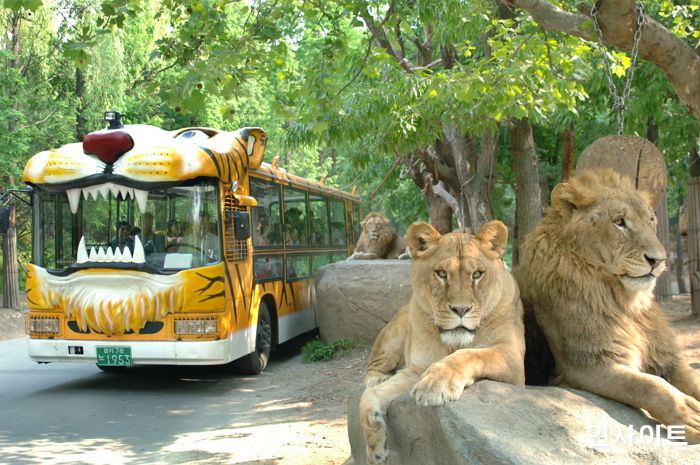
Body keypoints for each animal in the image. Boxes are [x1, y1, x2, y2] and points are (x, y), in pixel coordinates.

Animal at [360, 219, 524, 462]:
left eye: (477, 274)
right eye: (441, 273)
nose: (461, 309)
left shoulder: (513, 359)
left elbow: (473, 353)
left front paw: (438, 383)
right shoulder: (416, 370)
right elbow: (369, 396)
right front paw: (374, 451)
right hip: (394, 334)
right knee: (373, 367)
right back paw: (377, 378)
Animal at [516, 169, 700, 444]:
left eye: (651, 220)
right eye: (619, 222)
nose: (659, 260)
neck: (624, 303)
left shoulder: (667, 357)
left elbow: (692, 379)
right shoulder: (585, 366)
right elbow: (650, 386)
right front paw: (691, 419)